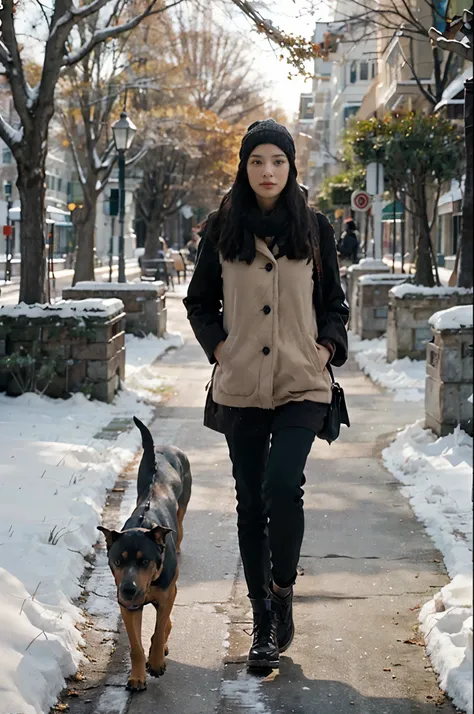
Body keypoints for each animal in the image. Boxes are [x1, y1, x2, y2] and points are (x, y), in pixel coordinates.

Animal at [97, 414, 192, 688]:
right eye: (117, 561)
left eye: (144, 561)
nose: (128, 589)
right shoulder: (127, 606)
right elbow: (135, 645)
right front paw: (137, 675)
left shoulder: (166, 593)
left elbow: (159, 629)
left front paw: (157, 661)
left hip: (183, 507)